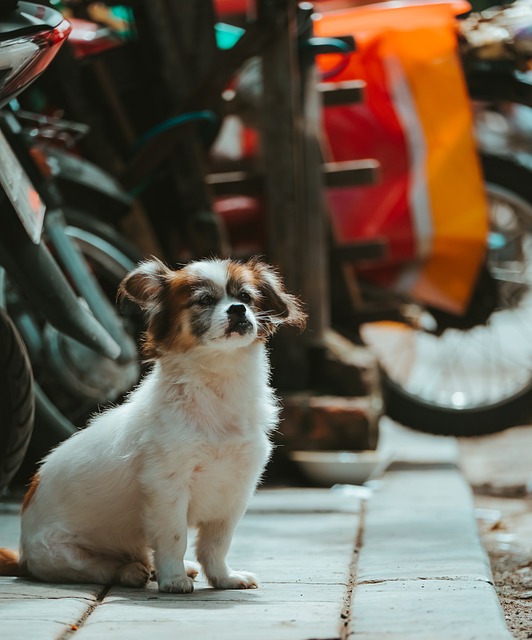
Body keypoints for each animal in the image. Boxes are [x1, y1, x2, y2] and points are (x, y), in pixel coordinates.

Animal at [0, 258, 306, 592]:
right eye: (204, 301)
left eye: (246, 298)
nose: (238, 309)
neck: (218, 385)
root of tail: (23, 555)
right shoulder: (167, 487)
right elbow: (174, 538)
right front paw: (173, 579)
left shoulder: (236, 489)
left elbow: (216, 544)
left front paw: (223, 578)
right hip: (62, 554)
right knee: (110, 567)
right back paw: (135, 572)